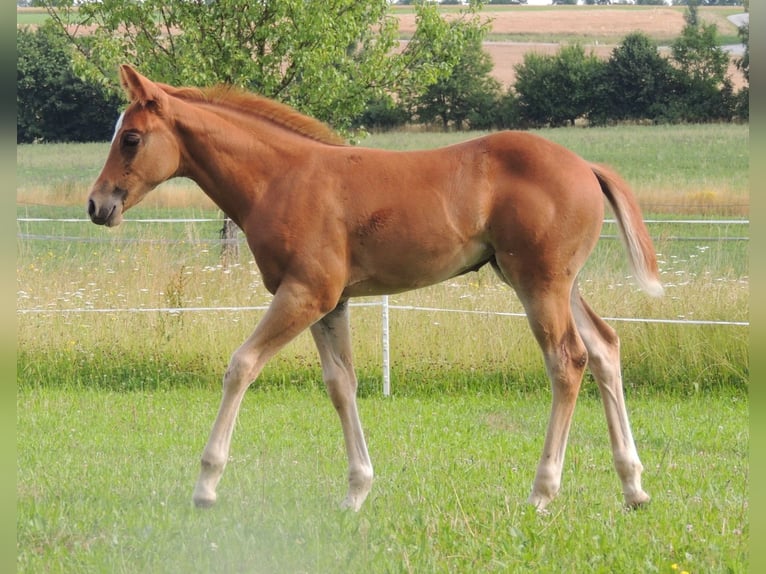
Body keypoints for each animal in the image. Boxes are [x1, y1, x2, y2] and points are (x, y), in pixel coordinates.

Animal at [88, 65, 662, 512]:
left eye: (131, 138)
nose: (97, 205)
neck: (281, 178)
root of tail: (585, 166)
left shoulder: (305, 293)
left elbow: (241, 365)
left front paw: (206, 484)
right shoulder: (330, 304)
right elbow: (341, 384)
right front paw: (357, 489)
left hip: (537, 283)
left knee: (567, 360)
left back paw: (543, 490)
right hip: (557, 283)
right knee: (605, 347)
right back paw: (633, 486)